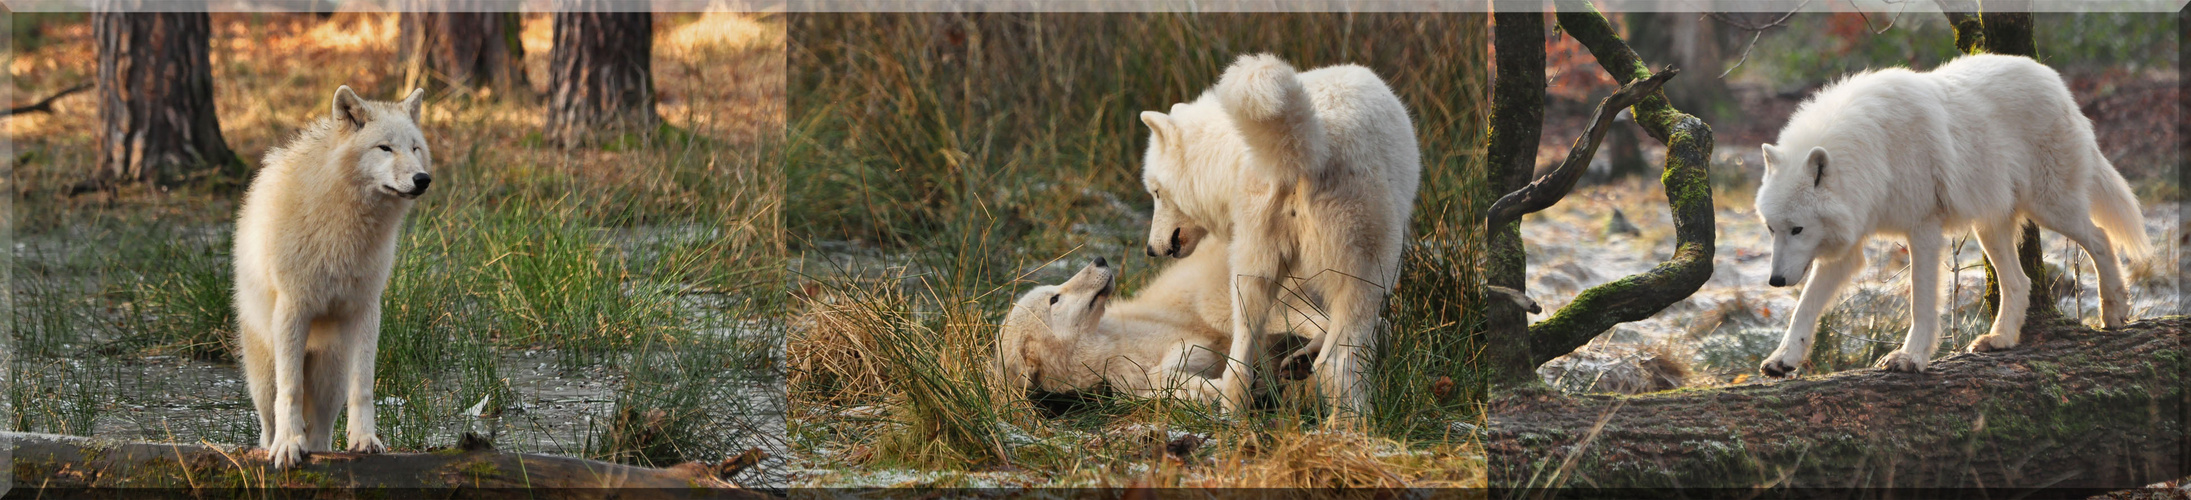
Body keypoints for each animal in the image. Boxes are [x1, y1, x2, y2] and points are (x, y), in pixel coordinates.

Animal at [233, 87, 433, 469]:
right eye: (385, 148)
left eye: (415, 148)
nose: (422, 179)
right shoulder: (293, 309)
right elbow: (291, 390)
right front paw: (289, 445)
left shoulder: (366, 311)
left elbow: (364, 387)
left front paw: (365, 439)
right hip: (264, 379)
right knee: (269, 420)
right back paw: (276, 443)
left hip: (330, 380)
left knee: (323, 433)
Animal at [1003, 237, 1323, 405]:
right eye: (1055, 299)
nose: (1099, 259)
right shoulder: (1131, 387)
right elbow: (1163, 390)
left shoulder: (1195, 341)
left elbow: (1165, 371)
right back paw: (1299, 365)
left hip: (1226, 309)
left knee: (1324, 324)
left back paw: (1305, 361)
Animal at [1130, 53, 1419, 418]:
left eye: (1156, 192)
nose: (1151, 250)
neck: (1228, 155)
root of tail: (1299, 150)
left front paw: (1297, 361)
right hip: (1371, 271)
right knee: (1336, 363)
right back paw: (1357, 421)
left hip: (1249, 273)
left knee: (1238, 367)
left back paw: (1236, 418)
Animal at [1752, 52, 2147, 377]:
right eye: (1772, 229)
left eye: (1797, 229)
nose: (1775, 281)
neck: (1875, 152)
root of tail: (2054, 80)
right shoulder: (1849, 245)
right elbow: (1805, 306)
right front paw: (1783, 359)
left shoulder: (1923, 230)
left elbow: (1921, 304)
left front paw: (1909, 358)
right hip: (1991, 228)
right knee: (2020, 282)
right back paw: (2000, 338)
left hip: (2052, 207)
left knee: (2100, 238)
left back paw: (2114, 312)